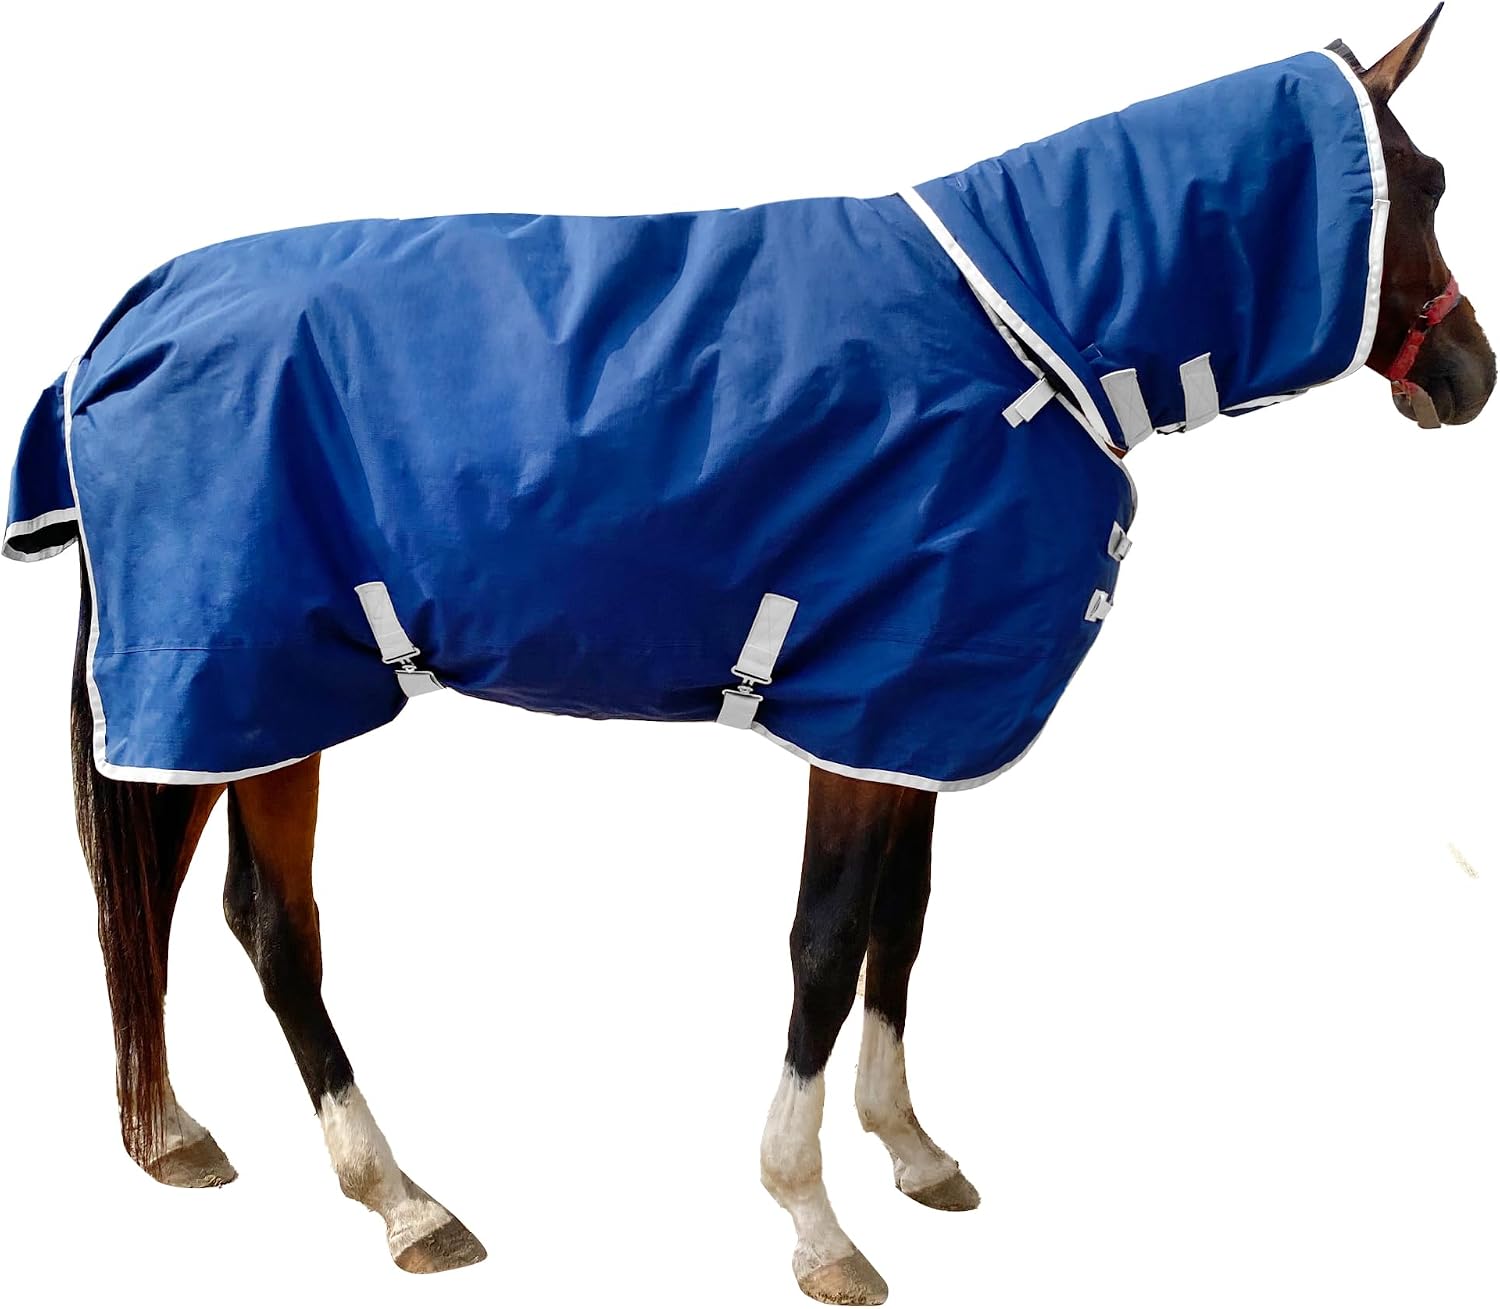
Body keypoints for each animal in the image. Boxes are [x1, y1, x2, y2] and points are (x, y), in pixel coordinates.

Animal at [3, 9, 1493, 1305]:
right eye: (1419, 184)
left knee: (158, 891)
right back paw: (404, 1200)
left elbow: (904, 924)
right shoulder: (869, 709)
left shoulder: (914, 714)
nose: (1469, 377)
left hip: (222, 698)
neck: (1015, 330)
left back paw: (174, 1133)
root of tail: (128, 318)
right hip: (254, 680)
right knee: (272, 921)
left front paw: (913, 1151)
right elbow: (826, 944)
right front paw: (815, 1223)